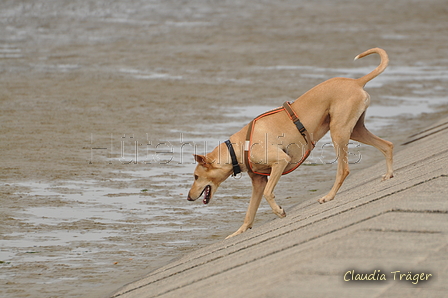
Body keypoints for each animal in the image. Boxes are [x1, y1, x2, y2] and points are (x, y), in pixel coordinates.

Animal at [187, 49, 394, 240]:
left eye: (196, 177)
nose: (188, 197)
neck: (238, 148)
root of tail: (356, 82)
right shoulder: (258, 182)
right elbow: (250, 212)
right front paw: (239, 232)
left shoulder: (281, 161)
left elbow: (268, 193)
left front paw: (279, 211)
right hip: (356, 130)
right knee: (387, 145)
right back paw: (389, 174)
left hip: (338, 132)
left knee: (344, 170)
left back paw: (329, 196)